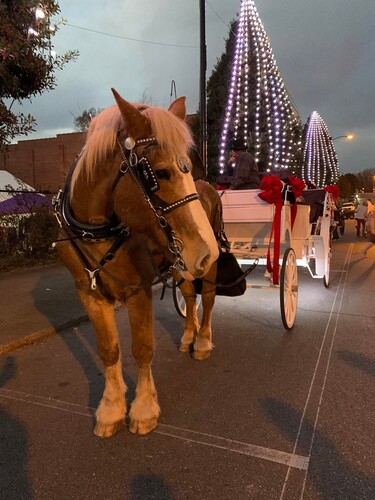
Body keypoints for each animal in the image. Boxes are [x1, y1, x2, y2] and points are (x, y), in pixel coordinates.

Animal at [54, 90, 219, 438]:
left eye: (187, 167)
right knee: (189, 296)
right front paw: (112, 408)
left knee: (208, 299)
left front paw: (143, 408)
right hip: (183, 263)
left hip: (203, 266)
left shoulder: (138, 290)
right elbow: (109, 350)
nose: (207, 250)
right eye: (161, 172)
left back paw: (202, 340)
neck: (97, 230)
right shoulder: (89, 294)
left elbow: (142, 348)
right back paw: (189, 335)